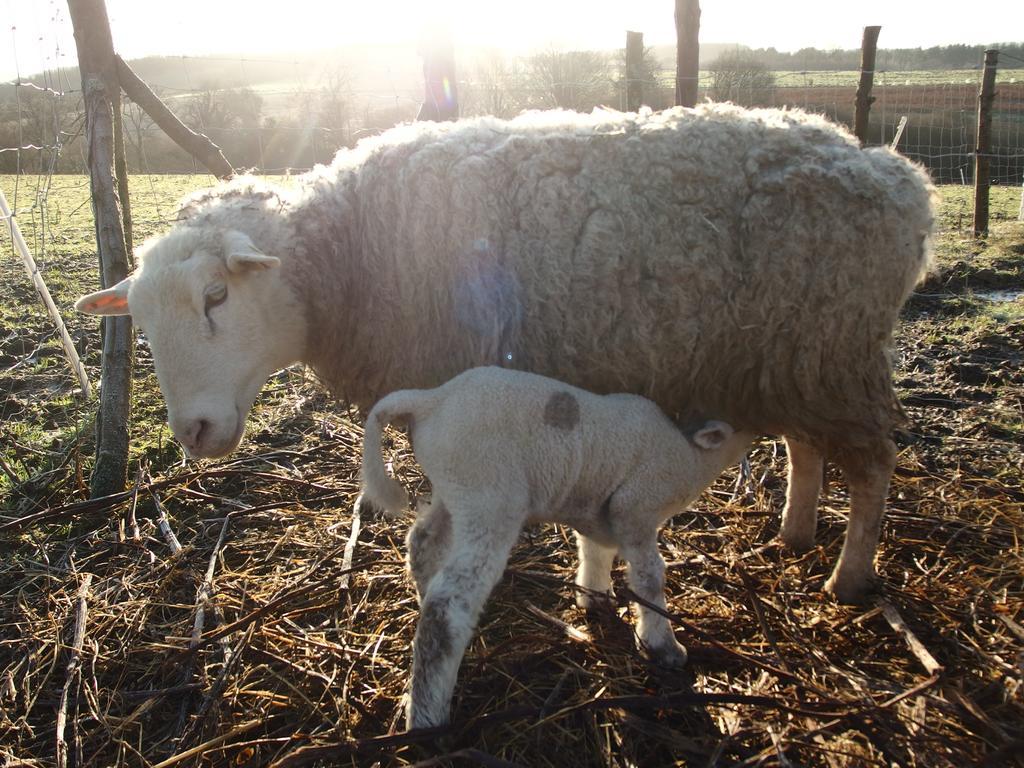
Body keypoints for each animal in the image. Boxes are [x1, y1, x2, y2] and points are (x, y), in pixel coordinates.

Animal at [72, 103, 937, 606]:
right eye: (139, 321)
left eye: (217, 298)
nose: (195, 434)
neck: (349, 252)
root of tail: (901, 176)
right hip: (788, 354)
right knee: (807, 447)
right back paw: (792, 534)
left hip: (832, 347)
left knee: (872, 465)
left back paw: (849, 576)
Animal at [360, 366, 753, 729]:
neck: (692, 453)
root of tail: (432, 400)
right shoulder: (636, 506)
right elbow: (650, 577)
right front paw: (663, 647)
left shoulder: (598, 503)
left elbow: (595, 548)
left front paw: (595, 597)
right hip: (489, 493)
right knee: (449, 601)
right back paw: (428, 717)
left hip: (455, 489)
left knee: (423, 542)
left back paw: (423, 596)